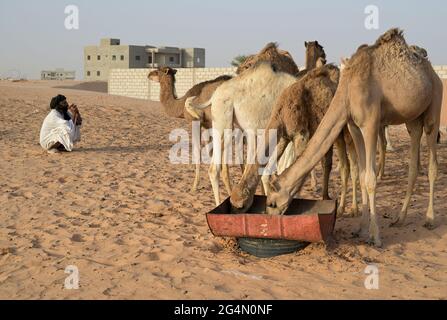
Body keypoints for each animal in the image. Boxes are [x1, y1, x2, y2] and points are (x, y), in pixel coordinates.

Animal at [266, 28, 444, 248]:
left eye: (272, 202)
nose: (270, 217)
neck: (347, 90)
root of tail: (432, 71)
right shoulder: (353, 126)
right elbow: (361, 173)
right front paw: (360, 228)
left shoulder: (370, 124)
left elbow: (370, 178)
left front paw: (375, 236)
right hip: (412, 118)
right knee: (413, 157)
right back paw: (400, 219)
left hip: (434, 103)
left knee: (432, 159)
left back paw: (430, 219)